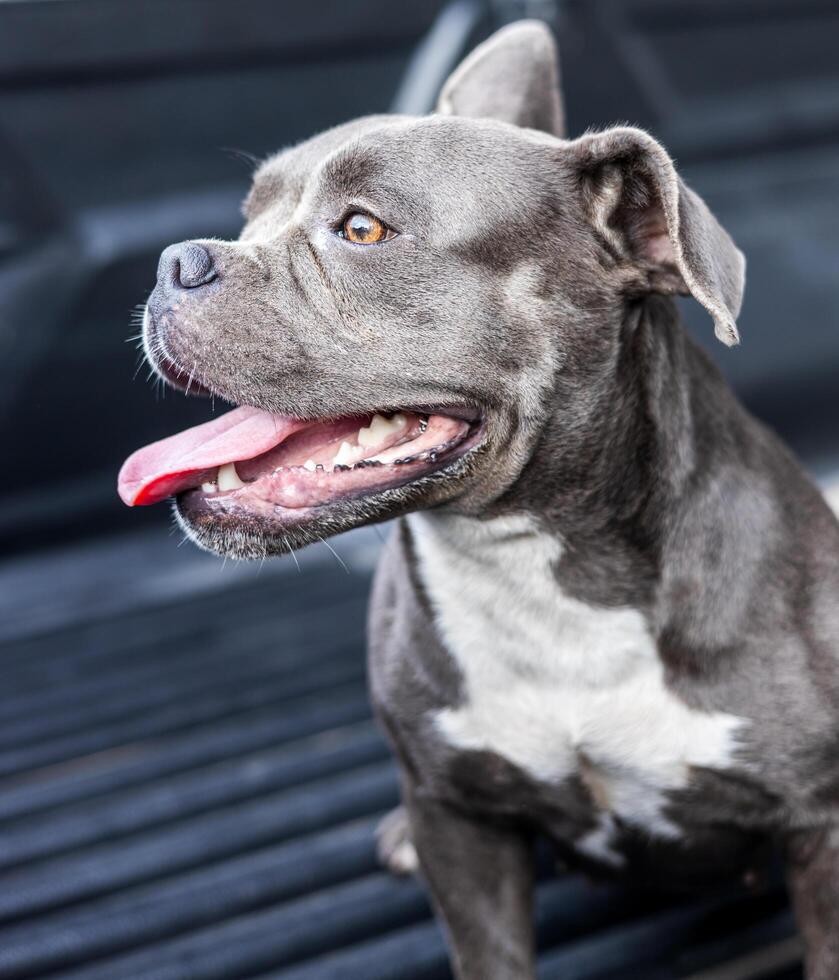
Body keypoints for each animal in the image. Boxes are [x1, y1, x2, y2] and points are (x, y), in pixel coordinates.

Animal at [121, 23, 839, 980]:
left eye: (362, 228)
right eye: (248, 212)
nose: (177, 260)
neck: (531, 564)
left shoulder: (820, 834)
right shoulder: (458, 825)